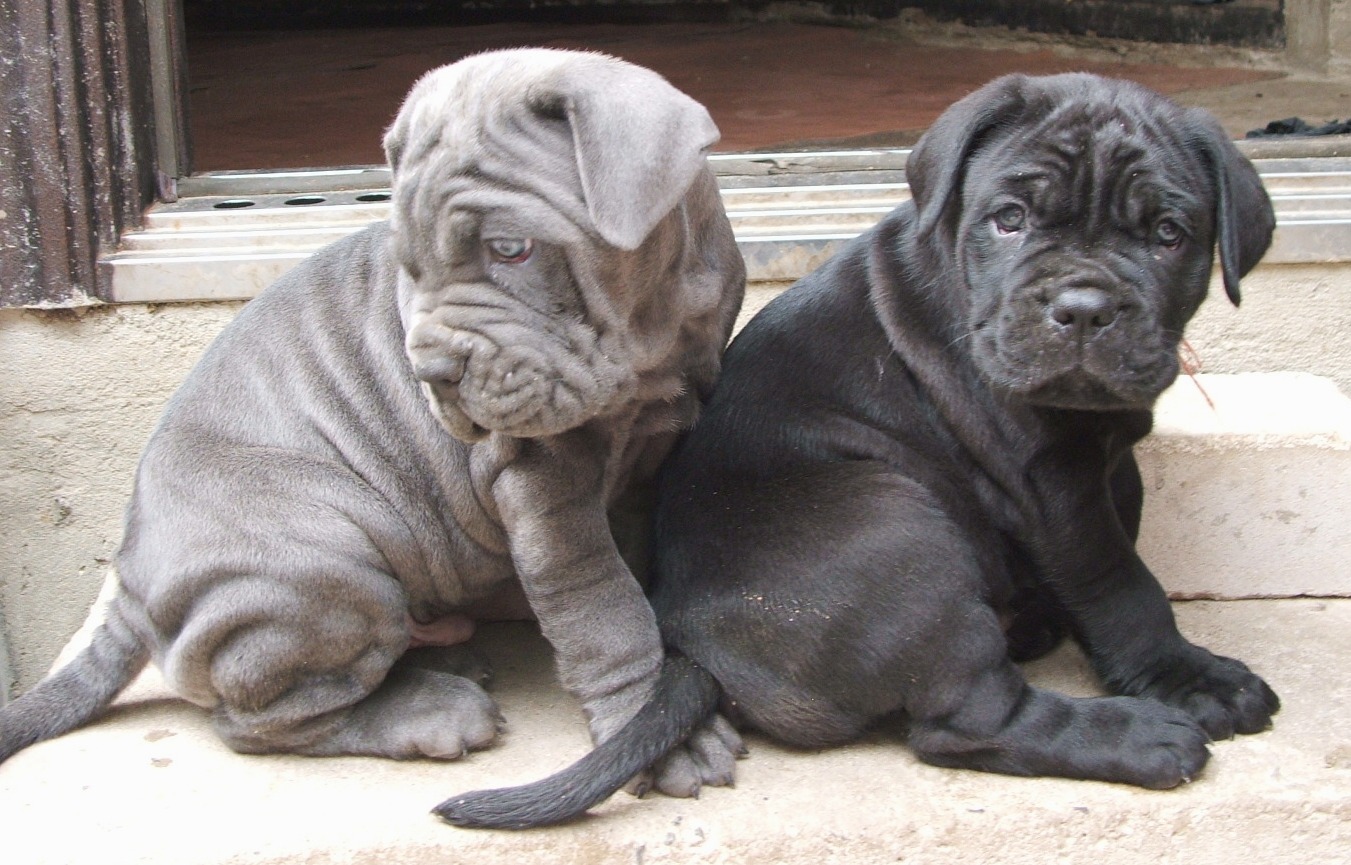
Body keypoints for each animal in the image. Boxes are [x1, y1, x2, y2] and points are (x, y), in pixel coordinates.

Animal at [0, 48, 745, 783]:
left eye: (511, 247)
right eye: (409, 268)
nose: (433, 372)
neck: (649, 330)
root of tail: (127, 586)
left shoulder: (659, 436)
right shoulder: (542, 480)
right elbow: (600, 603)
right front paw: (657, 728)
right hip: (322, 564)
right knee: (264, 719)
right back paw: (430, 711)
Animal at [445, 70, 1286, 827]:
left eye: (1168, 235)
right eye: (1008, 219)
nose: (1081, 308)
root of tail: (703, 651)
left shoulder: (1105, 453)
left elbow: (1122, 535)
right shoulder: (1052, 481)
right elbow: (1120, 581)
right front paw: (1186, 676)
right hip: (896, 523)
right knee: (966, 723)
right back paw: (1137, 736)